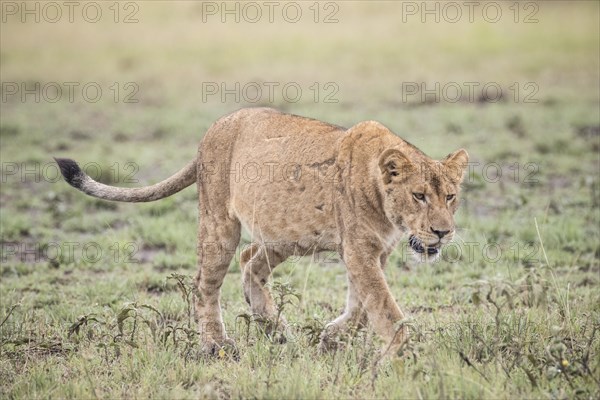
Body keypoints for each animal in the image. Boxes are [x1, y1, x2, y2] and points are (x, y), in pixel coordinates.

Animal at [55, 108, 468, 358]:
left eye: (450, 196)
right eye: (418, 196)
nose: (442, 232)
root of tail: (214, 128)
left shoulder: (374, 251)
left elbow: (362, 306)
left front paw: (332, 338)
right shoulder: (360, 249)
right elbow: (383, 307)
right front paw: (407, 356)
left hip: (283, 232)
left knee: (250, 262)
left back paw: (274, 327)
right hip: (219, 222)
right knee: (205, 283)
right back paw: (217, 344)